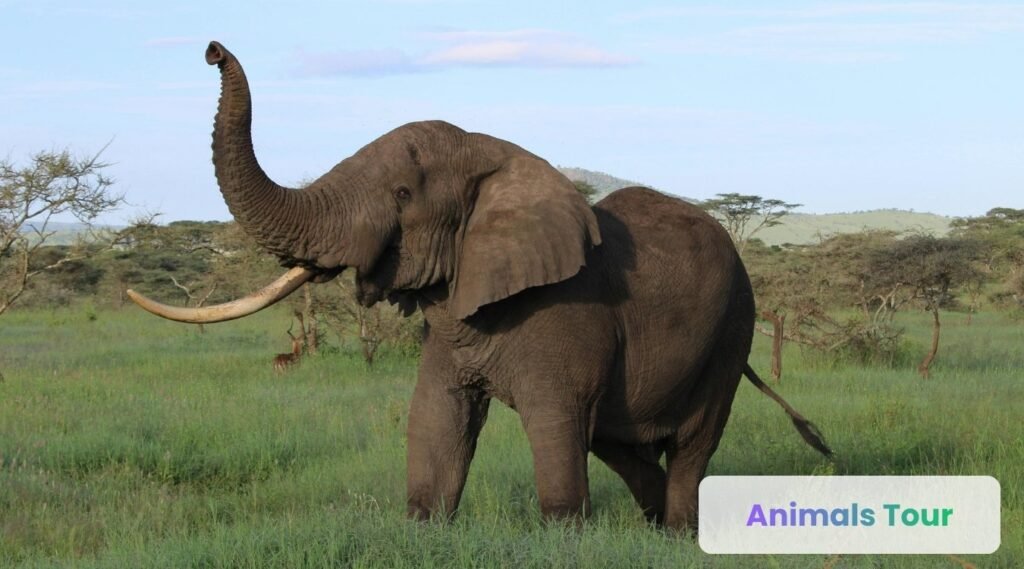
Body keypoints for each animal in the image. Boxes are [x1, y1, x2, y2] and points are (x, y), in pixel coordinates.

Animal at [129, 41, 831, 530]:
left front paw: (564, 539)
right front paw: (423, 528)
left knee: (689, 443)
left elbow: (554, 425)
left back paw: (682, 531)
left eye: (402, 195)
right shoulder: (452, 319)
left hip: (732, 327)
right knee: (618, 440)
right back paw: (657, 530)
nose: (212, 49)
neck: (493, 155)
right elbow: (437, 420)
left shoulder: (569, 313)